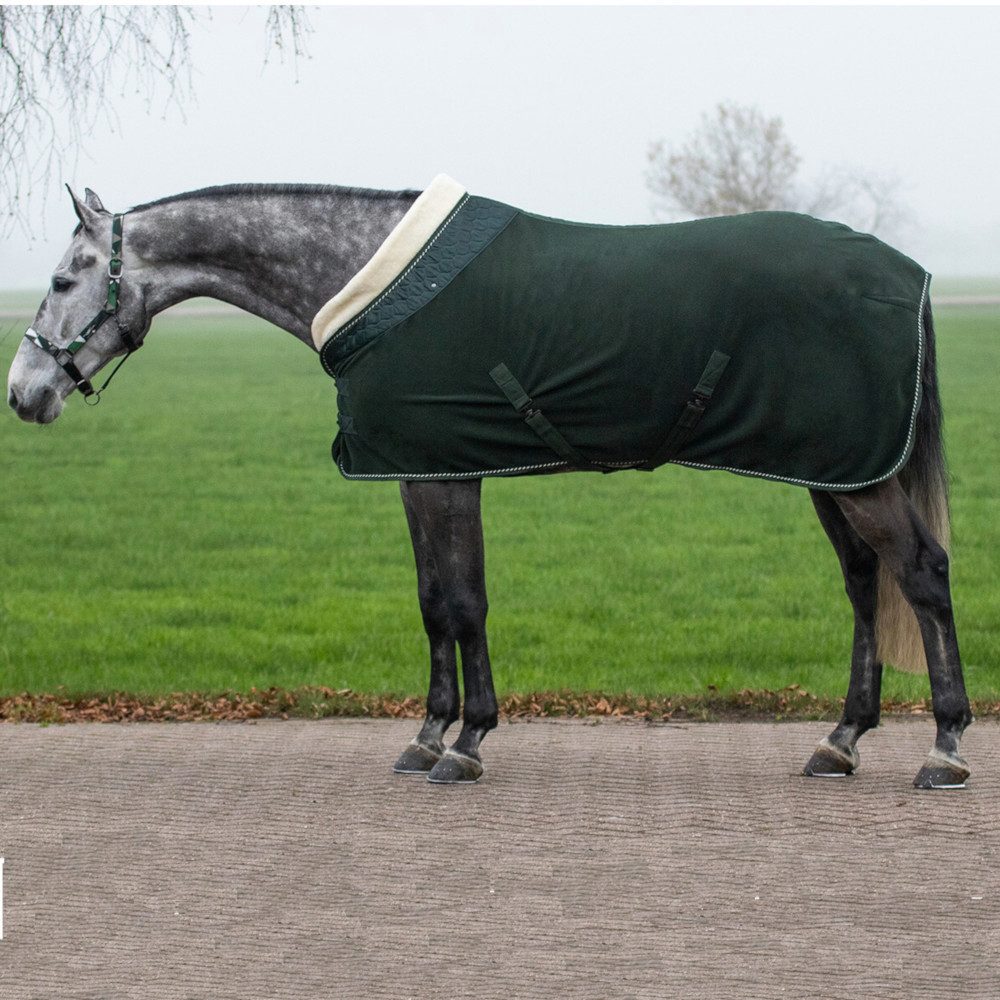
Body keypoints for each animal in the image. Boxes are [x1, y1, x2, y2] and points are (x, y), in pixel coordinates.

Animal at [6, 182, 973, 789]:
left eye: (60, 278)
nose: (25, 393)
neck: (372, 280)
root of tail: (910, 274)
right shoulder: (419, 473)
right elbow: (434, 603)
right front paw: (427, 733)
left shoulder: (449, 477)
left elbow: (465, 601)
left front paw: (466, 743)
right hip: (832, 469)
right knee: (864, 585)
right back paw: (840, 742)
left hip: (856, 477)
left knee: (922, 576)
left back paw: (945, 747)